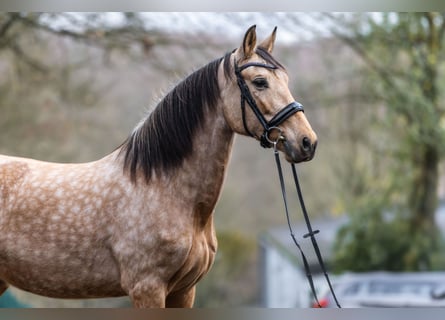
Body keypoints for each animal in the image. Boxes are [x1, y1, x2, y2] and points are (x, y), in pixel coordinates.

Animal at [0, 26, 320, 306]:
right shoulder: (148, 288)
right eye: (259, 82)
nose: (307, 142)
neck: (163, 187)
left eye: (286, 80)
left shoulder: (184, 290)